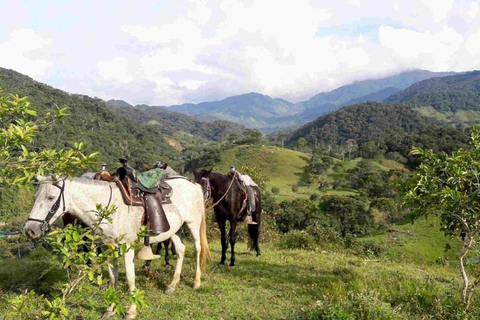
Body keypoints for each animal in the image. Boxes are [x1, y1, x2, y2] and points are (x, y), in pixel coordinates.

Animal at [23, 176, 209, 318]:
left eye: (51, 197)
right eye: (36, 195)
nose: (30, 230)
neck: (110, 209)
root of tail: (193, 184)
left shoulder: (127, 249)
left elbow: (130, 279)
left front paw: (131, 311)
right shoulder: (108, 249)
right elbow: (114, 278)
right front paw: (110, 309)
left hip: (193, 224)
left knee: (198, 249)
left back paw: (196, 282)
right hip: (173, 230)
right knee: (181, 250)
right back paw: (172, 284)